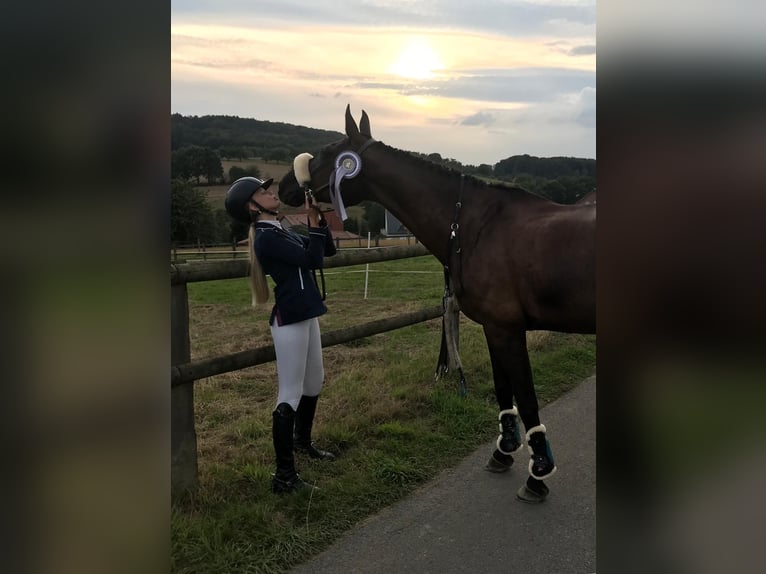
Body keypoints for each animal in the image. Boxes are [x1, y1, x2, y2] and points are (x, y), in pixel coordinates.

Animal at [280, 108, 596, 504]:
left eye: (327, 151)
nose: (282, 187)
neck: (476, 226)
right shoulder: (495, 328)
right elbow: (503, 388)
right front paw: (503, 451)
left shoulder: (507, 329)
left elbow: (525, 396)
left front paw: (538, 473)